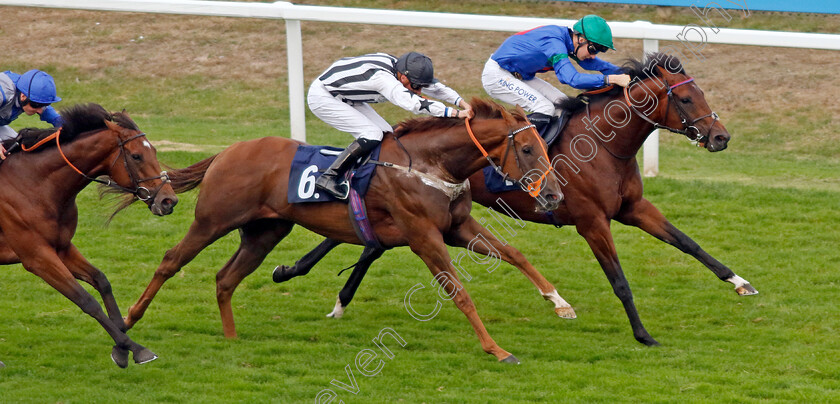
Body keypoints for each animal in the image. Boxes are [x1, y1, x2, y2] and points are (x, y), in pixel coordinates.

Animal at [0, 103, 177, 366]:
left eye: (154, 150)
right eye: (136, 156)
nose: (168, 201)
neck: (34, 185)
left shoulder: (62, 247)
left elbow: (101, 280)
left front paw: (121, 343)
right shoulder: (36, 256)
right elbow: (85, 299)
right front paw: (135, 348)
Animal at [126, 99, 564, 364]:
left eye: (545, 147)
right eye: (528, 149)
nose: (555, 194)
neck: (429, 164)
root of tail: (228, 151)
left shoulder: (457, 226)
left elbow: (514, 254)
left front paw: (559, 303)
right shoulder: (423, 236)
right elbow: (459, 291)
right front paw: (496, 348)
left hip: (265, 232)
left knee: (225, 278)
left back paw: (231, 338)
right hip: (212, 220)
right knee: (171, 261)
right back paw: (130, 319)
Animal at [274, 52, 756, 346]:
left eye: (702, 94)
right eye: (688, 98)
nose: (721, 137)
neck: (605, 145)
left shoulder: (632, 209)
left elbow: (688, 243)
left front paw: (740, 282)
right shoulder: (592, 222)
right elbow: (619, 280)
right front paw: (643, 334)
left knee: (368, 241)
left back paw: (325, 288)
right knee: (360, 233)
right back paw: (303, 270)